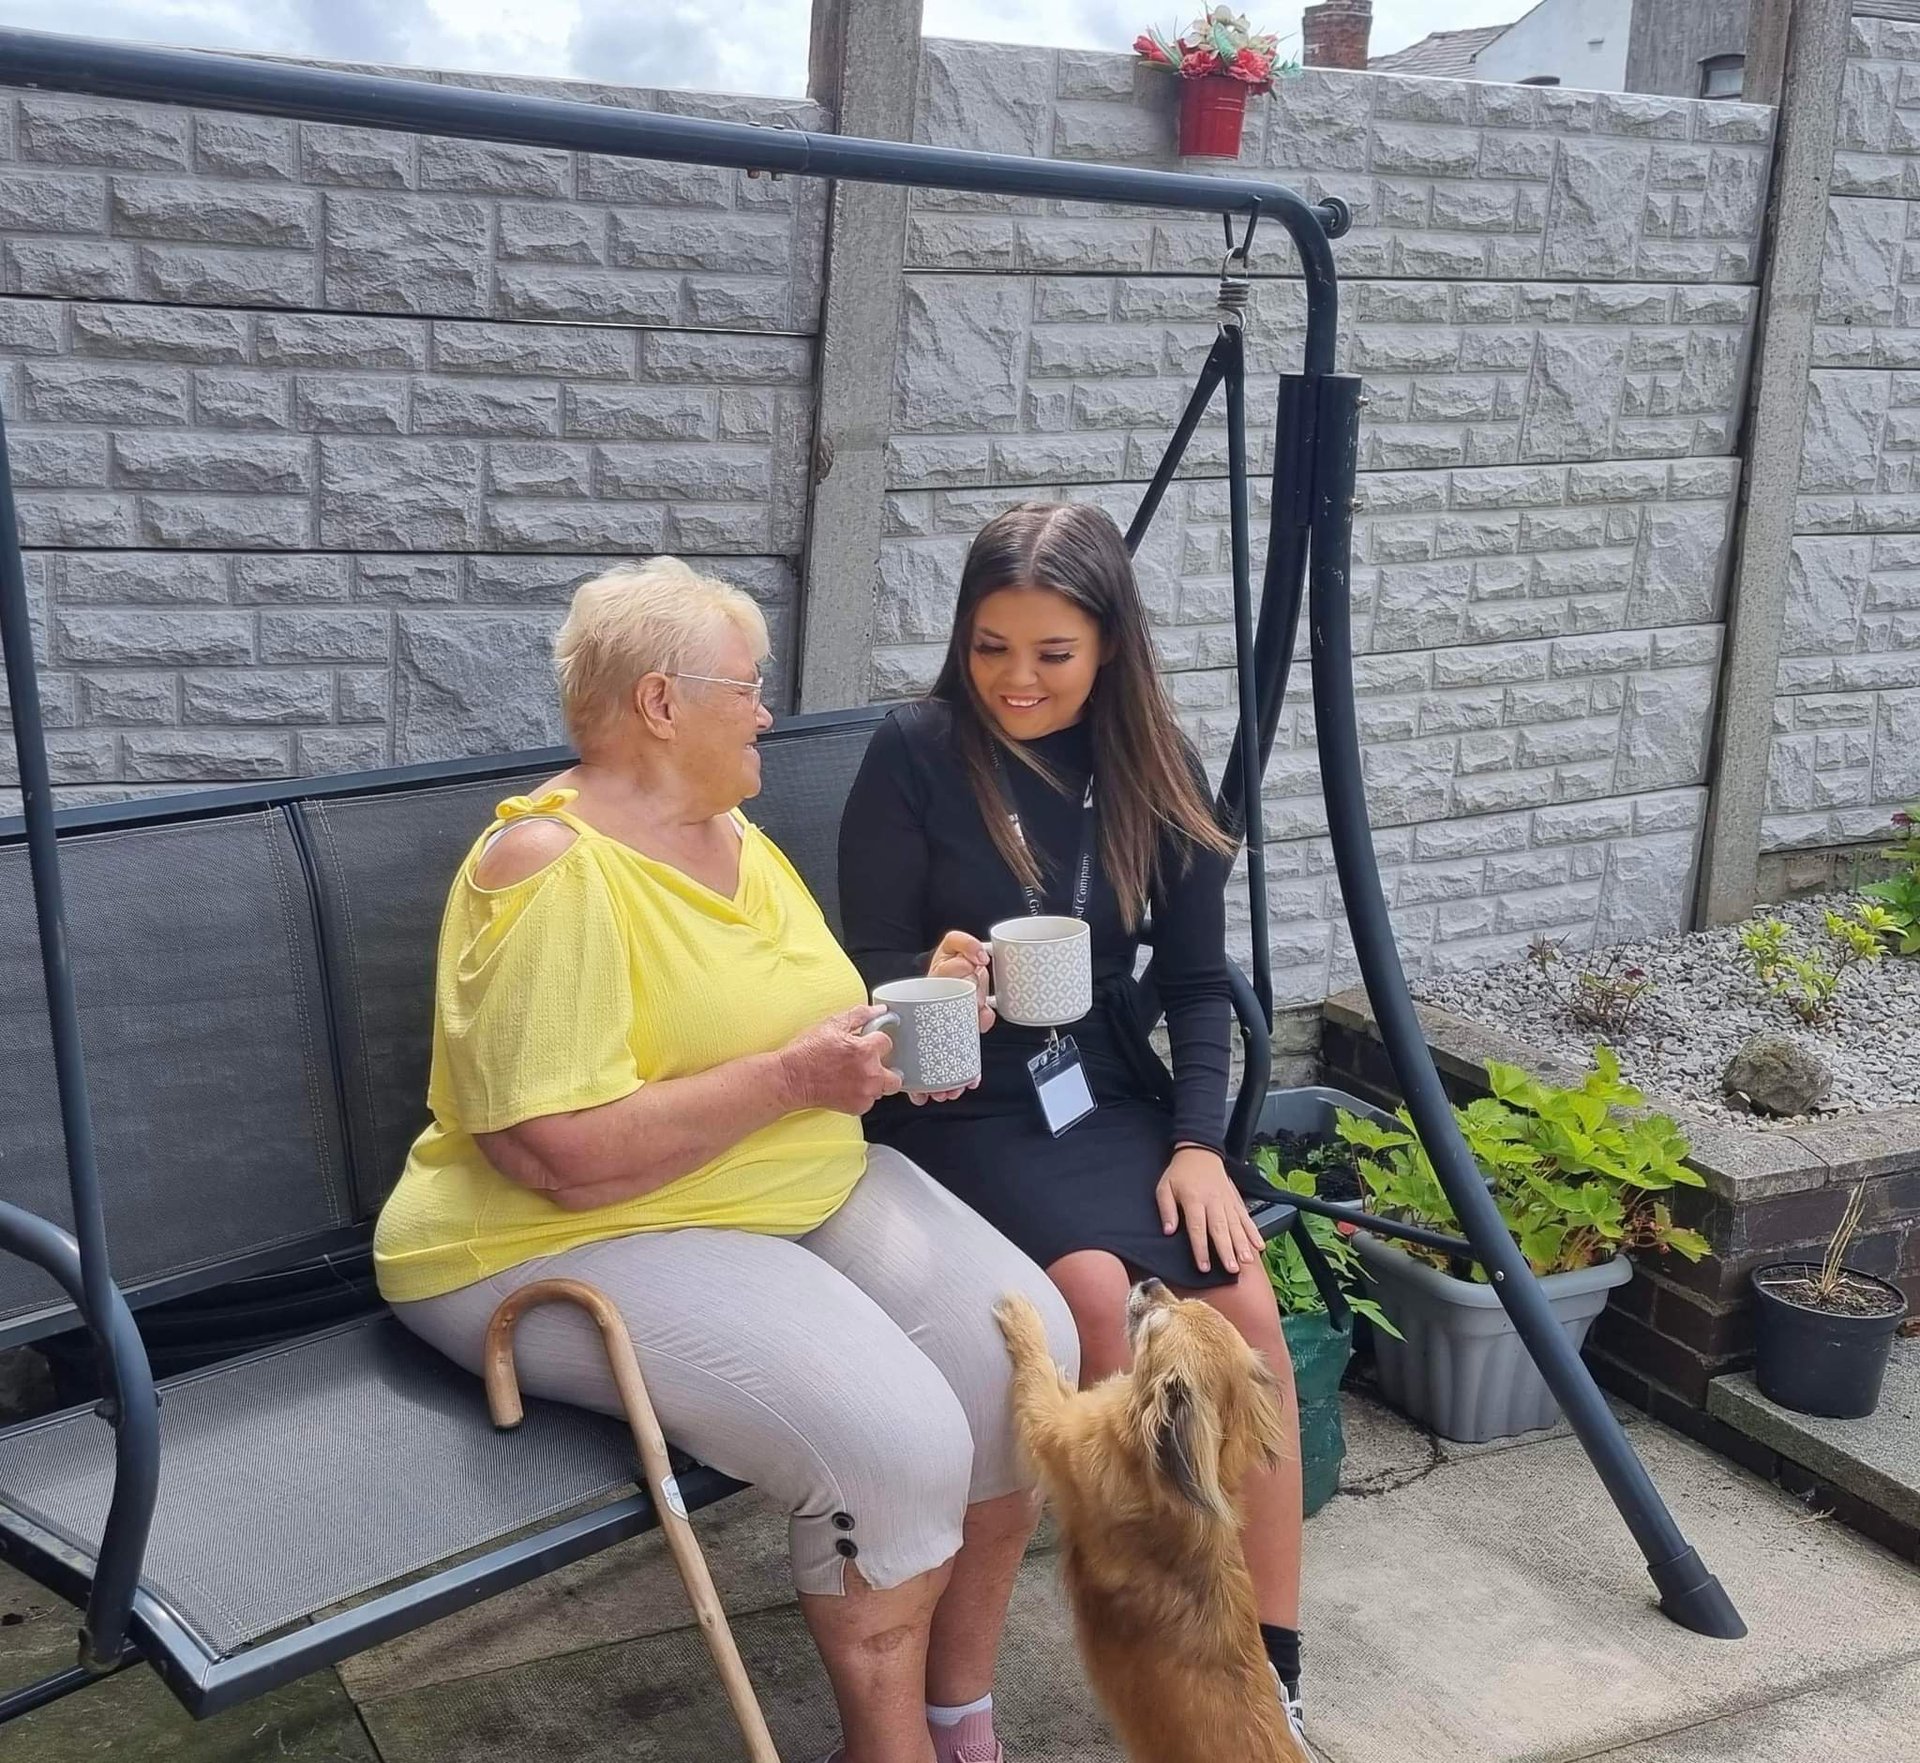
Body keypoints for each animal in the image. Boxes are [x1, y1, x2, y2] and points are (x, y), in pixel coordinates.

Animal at [990, 1282, 1305, 1763]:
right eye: (1187, 1301)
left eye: (1156, 1329)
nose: (1150, 1283)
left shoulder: (1053, 1426)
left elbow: (1039, 1370)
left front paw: (1022, 1316)